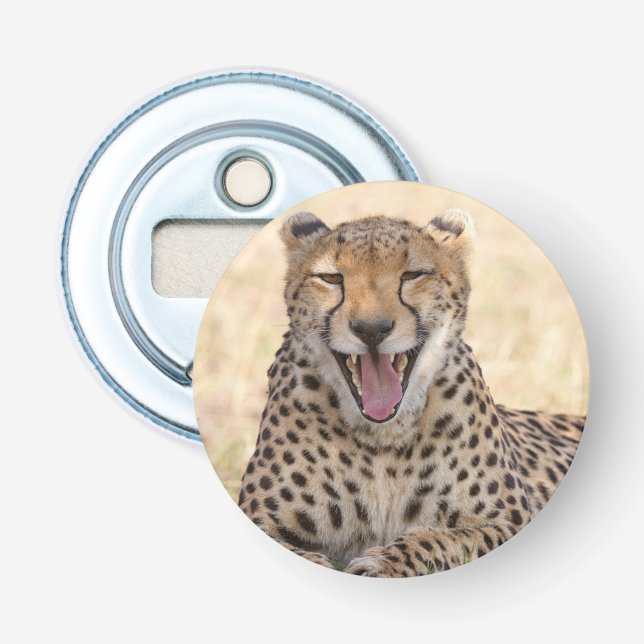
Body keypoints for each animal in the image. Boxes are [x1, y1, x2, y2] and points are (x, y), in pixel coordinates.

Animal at [237, 209, 585, 577]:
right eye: (330, 278)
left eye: (413, 275)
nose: (372, 329)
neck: (383, 438)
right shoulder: (262, 520)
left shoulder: (505, 522)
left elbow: (441, 538)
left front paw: (381, 564)